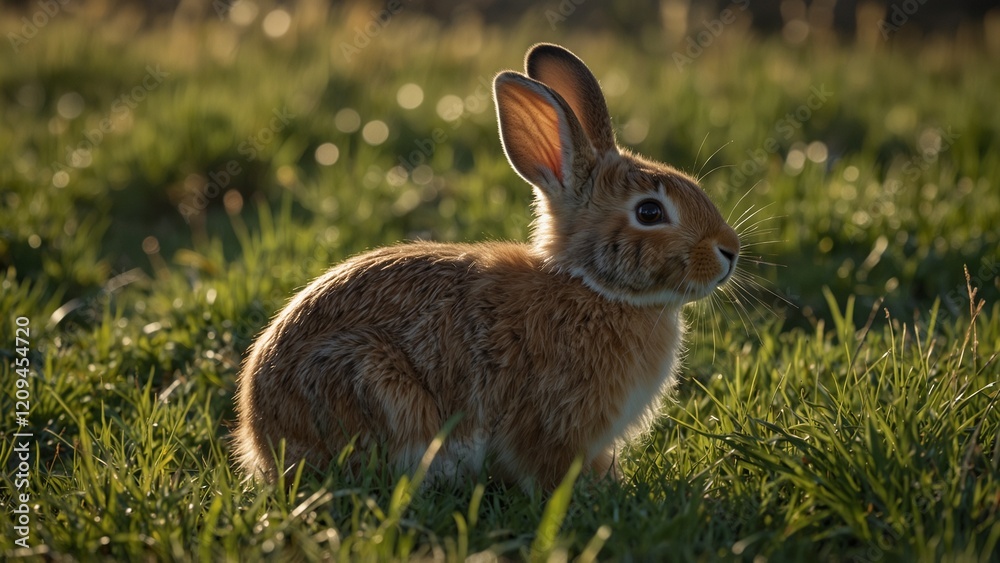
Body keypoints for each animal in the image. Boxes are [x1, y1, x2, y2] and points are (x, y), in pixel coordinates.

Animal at [233, 43, 740, 491]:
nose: (730, 251)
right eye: (650, 212)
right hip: (369, 379)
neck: (593, 288)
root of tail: (261, 441)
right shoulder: (552, 422)